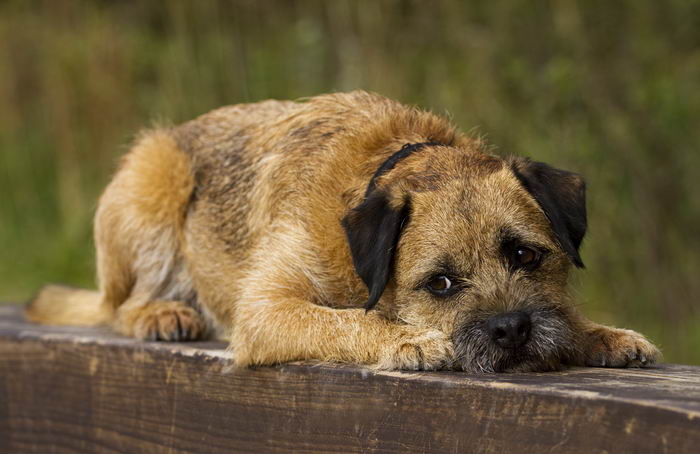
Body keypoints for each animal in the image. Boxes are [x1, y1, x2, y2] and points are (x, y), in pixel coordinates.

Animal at [27, 91, 660, 372]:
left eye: (526, 256)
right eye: (441, 284)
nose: (511, 329)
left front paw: (598, 334)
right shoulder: (267, 309)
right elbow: (344, 320)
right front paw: (408, 340)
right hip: (155, 178)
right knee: (119, 306)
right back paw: (161, 312)